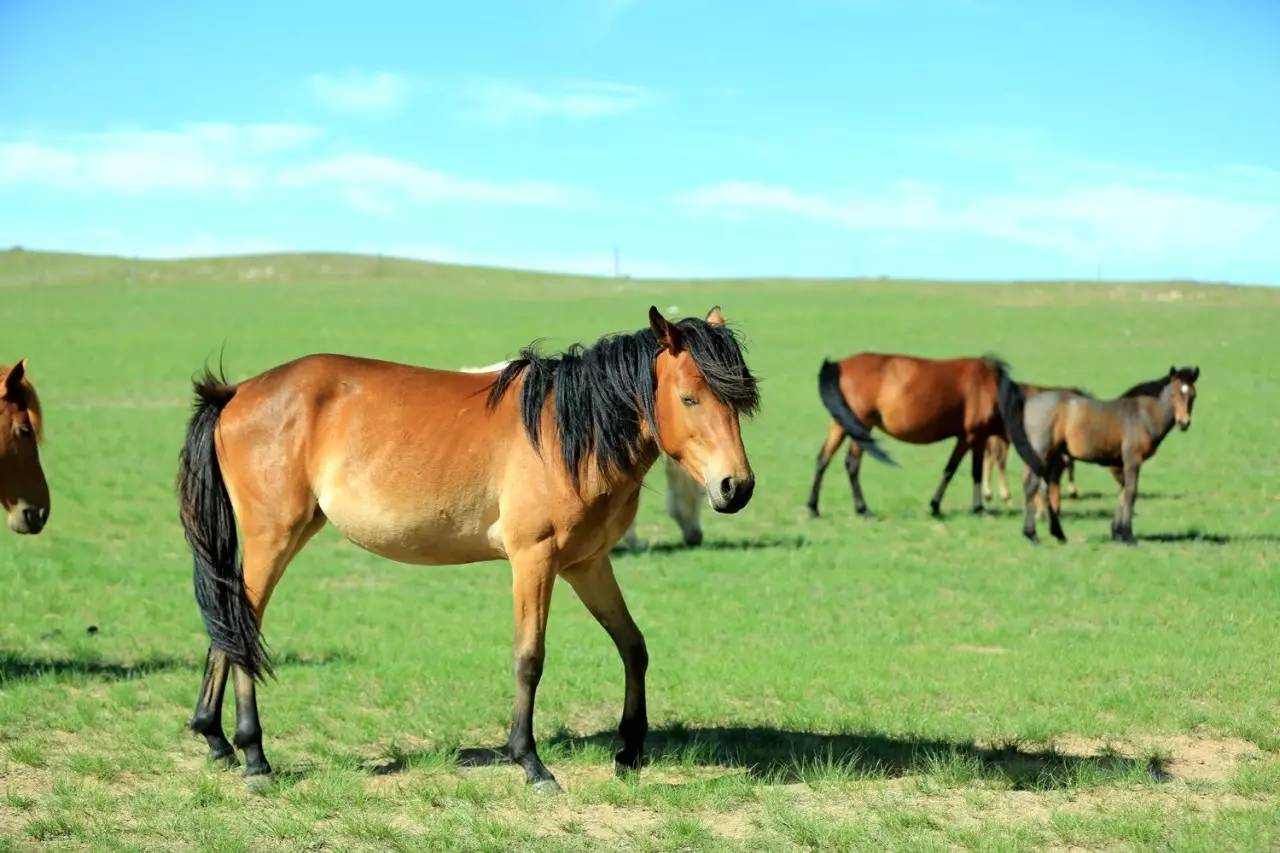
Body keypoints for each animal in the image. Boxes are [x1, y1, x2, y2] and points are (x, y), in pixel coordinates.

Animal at [180, 303, 757, 788]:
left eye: (739, 400)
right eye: (689, 397)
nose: (737, 487)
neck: (570, 433)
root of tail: (237, 394)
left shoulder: (588, 564)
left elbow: (633, 646)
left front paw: (630, 750)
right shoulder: (534, 560)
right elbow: (530, 657)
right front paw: (530, 762)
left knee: (230, 625)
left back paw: (217, 740)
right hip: (272, 538)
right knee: (241, 632)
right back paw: (255, 757)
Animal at [803, 350, 1044, 514]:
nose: (1042, 515)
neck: (992, 389)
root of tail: (839, 365)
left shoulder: (971, 439)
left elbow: (961, 470)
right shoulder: (973, 437)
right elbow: (960, 470)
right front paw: (970, 507)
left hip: (841, 425)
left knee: (823, 459)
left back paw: (813, 507)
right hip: (861, 426)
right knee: (852, 464)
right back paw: (863, 509)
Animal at [1018, 361, 1198, 540]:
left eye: (1193, 395)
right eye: (1173, 394)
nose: (1184, 422)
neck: (1142, 415)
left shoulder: (1121, 464)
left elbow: (1122, 492)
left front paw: (1117, 532)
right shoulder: (1133, 460)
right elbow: (1130, 493)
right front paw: (1128, 535)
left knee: (1043, 487)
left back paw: (1056, 533)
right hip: (1042, 452)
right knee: (1032, 486)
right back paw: (1032, 534)